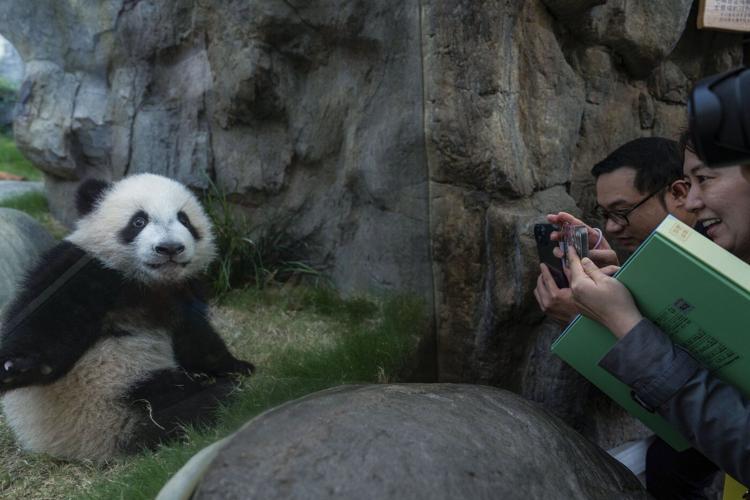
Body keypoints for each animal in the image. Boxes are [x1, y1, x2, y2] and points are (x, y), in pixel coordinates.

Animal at [0, 173, 254, 463]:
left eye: (184, 219)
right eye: (138, 221)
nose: (170, 248)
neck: (146, 282)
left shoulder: (180, 293)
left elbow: (197, 340)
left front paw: (238, 365)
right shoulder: (84, 272)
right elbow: (46, 328)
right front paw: (15, 367)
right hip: (117, 394)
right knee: (184, 401)